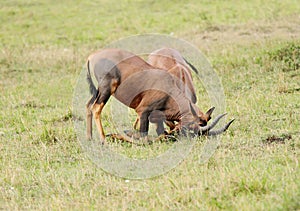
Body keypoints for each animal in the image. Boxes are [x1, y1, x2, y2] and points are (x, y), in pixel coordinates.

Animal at [85, 48, 233, 143]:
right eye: (188, 128)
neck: (169, 89)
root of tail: (93, 56)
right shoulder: (143, 111)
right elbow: (145, 138)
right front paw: (117, 135)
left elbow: (159, 134)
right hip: (106, 88)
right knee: (96, 108)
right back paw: (103, 139)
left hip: (98, 90)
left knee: (88, 105)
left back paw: (90, 137)